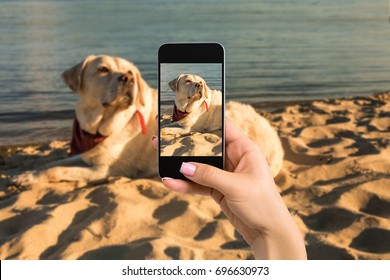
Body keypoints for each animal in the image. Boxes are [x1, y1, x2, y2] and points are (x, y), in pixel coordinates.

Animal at [13, 55, 157, 185]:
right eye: (103, 69)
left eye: (130, 72)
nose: (129, 79)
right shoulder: (85, 155)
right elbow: (55, 162)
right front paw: (30, 173)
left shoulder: (107, 170)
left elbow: (56, 170)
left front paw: (31, 177)